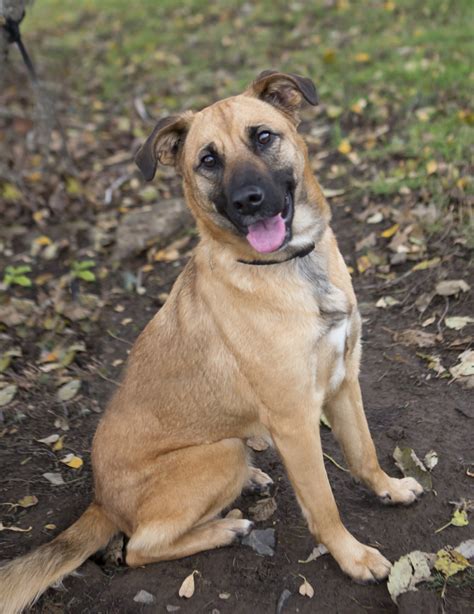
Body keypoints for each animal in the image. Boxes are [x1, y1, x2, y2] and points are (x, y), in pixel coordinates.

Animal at [0, 70, 422, 612]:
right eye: (208, 160)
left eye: (262, 137)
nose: (249, 201)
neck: (290, 267)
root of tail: (100, 499)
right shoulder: (295, 420)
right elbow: (324, 504)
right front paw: (353, 557)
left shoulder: (345, 381)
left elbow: (364, 453)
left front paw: (389, 489)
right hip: (219, 453)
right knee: (138, 548)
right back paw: (227, 527)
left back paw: (253, 482)